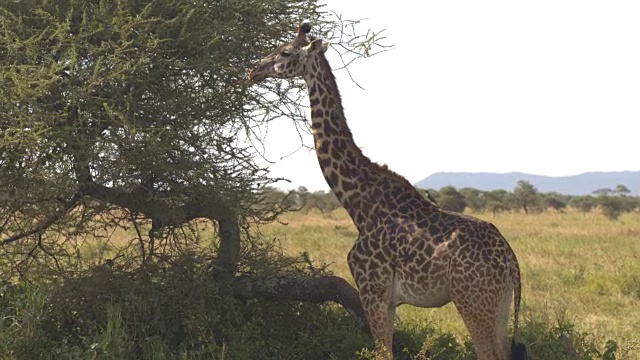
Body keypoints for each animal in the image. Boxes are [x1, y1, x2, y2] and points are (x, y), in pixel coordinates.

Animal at [249, 23, 524, 360]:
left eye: (286, 52)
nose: (254, 70)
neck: (358, 204)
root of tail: (511, 261)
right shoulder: (388, 300)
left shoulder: (373, 290)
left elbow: (383, 352)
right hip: (499, 304)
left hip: (473, 300)